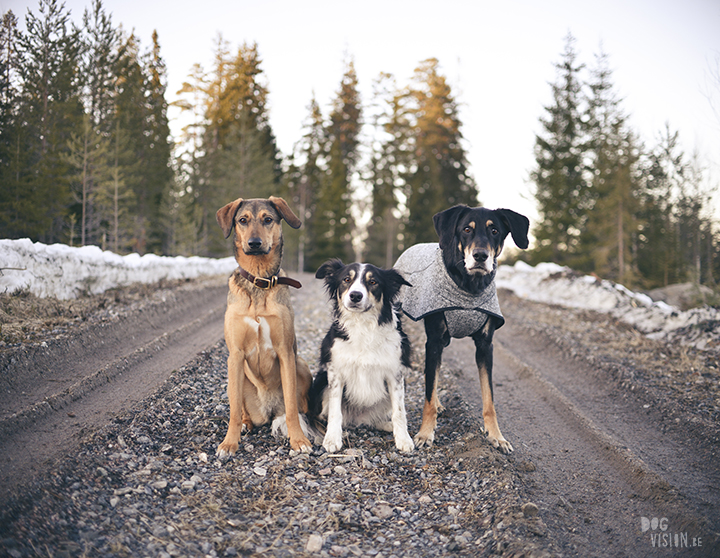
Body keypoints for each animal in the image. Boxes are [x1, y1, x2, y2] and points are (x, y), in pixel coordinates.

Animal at [217, 197, 312, 460]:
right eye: (242, 220)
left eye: (268, 219)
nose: (254, 243)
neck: (259, 281)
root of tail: (267, 411)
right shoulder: (235, 355)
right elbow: (233, 411)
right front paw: (229, 443)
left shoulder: (285, 352)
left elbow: (291, 406)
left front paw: (298, 440)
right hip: (235, 377)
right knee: (241, 409)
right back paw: (247, 423)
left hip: (301, 365)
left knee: (299, 405)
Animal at [394, 206, 528, 456]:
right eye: (466, 229)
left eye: (494, 230)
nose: (480, 256)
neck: (469, 285)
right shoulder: (434, 341)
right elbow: (428, 394)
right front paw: (425, 434)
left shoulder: (485, 345)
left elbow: (489, 399)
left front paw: (496, 436)